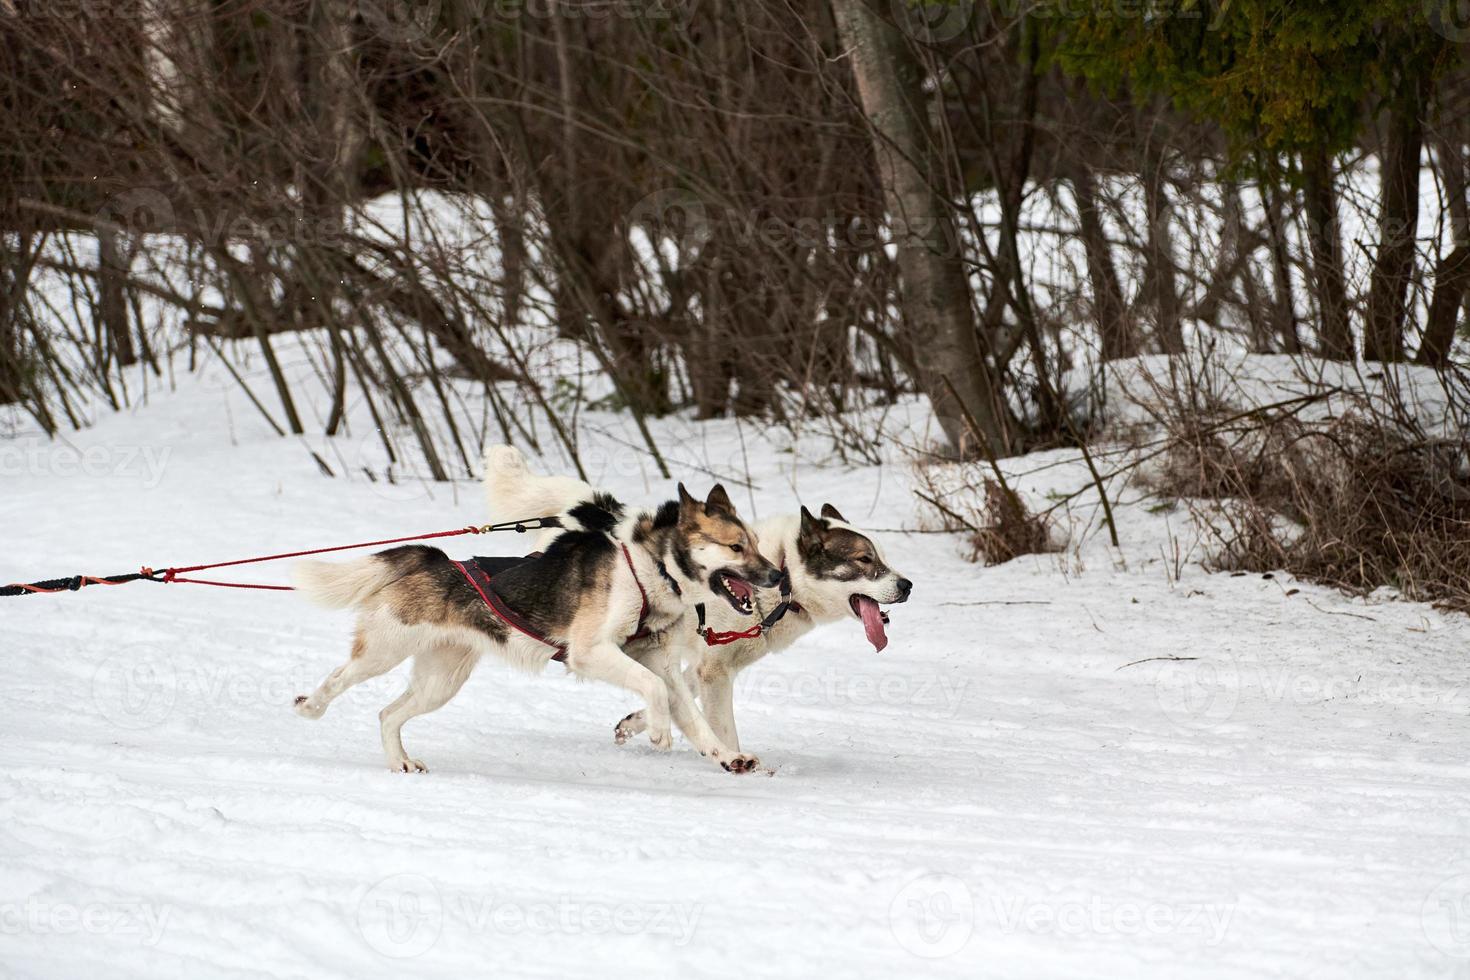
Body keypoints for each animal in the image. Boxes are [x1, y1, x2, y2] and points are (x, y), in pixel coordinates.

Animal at [291, 470, 787, 775]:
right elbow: (654, 691)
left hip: (440, 682)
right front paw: (661, 731)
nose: (778, 576)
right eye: (736, 546)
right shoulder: (592, 653)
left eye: (756, 543)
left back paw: (400, 762)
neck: (652, 569)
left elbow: (693, 718)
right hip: (383, 651)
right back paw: (310, 706)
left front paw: (727, 756)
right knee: (338, 678)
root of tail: (433, 559)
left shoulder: (661, 664)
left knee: (388, 714)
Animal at [482, 449, 911, 758]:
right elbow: (722, 726)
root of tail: (591, 509)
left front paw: (636, 722)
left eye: (883, 557)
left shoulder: (703, 660)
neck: (782, 574)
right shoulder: (714, 671)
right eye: (864, 560)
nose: (907, 585)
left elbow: (678, 691)